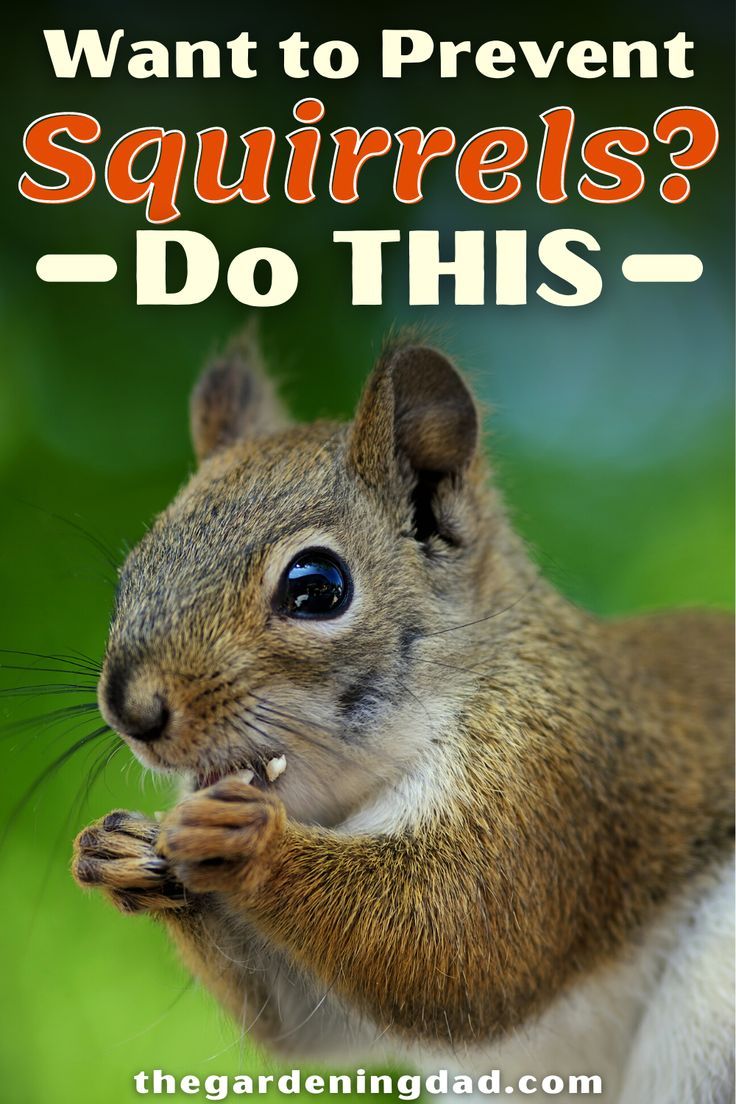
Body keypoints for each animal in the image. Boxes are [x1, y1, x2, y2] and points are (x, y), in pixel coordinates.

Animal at [72, 332, 734, 1104]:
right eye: (134, 570)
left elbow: (458, 941)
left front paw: (250, 839)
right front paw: (116, 851)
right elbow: (306, 1022)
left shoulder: (554, 782)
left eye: (317, 588)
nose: (131, 711)